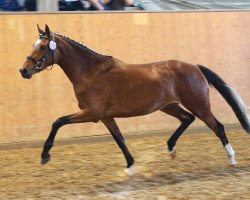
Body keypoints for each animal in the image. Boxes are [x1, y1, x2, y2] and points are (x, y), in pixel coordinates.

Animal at [18, 24, 249, 175]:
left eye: (42, 47)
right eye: (33, 45)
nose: (24, 70)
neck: (91, 72)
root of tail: (195, 67)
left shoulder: (92, 113)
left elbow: (58, 121)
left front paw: (45, 155)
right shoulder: (105, 117)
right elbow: (120, 140)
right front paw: (130, 167)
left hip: (199, 105)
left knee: (217, 126)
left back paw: (232, 159)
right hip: (168, 106)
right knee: (187, 119)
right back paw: (171, 148)